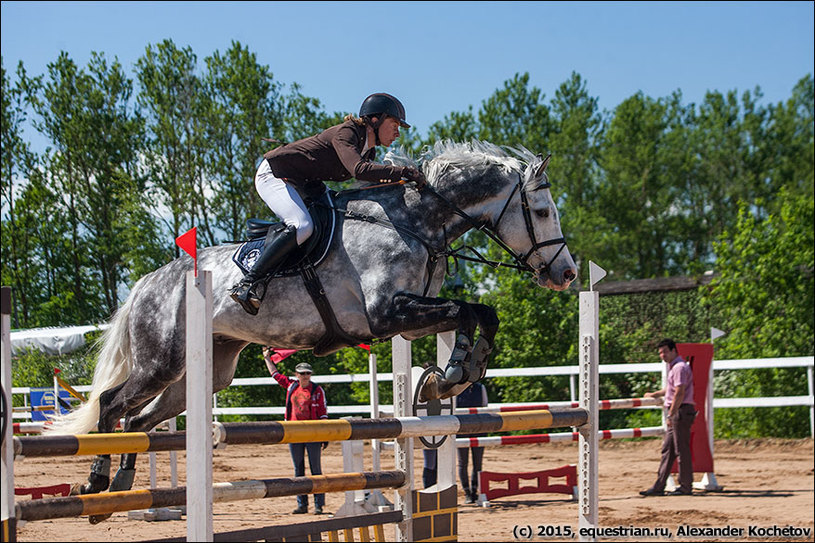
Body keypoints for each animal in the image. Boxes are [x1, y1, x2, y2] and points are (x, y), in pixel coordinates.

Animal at [47, 139, 576, 520]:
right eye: (542, 212)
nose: (567, 273)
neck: (415, 223)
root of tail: (148, 282)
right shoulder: (387, 314)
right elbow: (468, 312)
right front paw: (451, 376)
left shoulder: (409, 319)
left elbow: (479, 313)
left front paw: (455, 375)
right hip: (161, 361)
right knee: (111, 405)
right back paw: (96, 482)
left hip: (205, 371)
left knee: (139, 421)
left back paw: (120, 487)